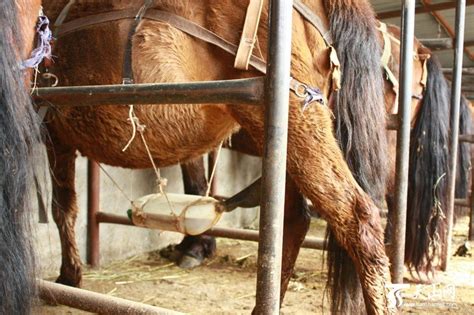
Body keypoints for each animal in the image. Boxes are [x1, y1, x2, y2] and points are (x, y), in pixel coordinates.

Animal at [41, 1, 388, 314]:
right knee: (293, 218)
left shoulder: (52, 133)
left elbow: (63, 208)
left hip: (297, 122)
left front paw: (68, 276)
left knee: (357, 217)